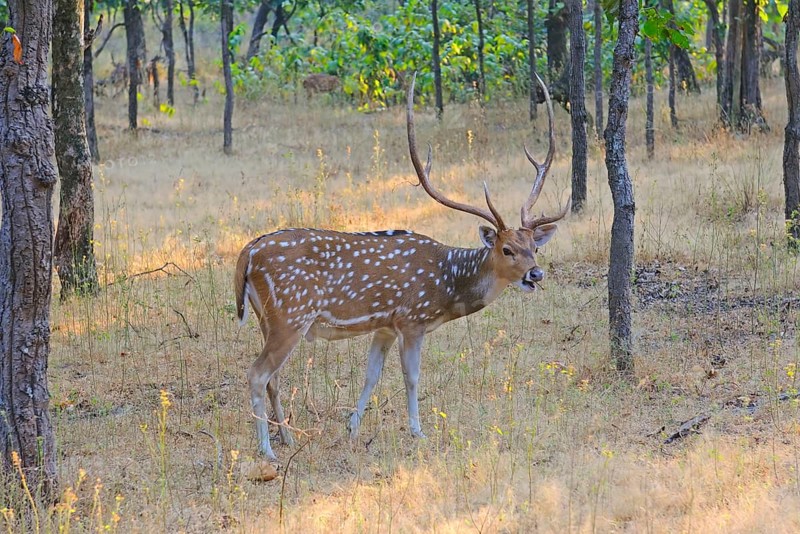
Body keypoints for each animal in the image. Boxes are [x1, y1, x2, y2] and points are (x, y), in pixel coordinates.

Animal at [235, 73, 568, 461]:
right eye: (507, 249)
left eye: (534, 247)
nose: (536, 273)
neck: (446, 285)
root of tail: (248, 252)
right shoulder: (412, 319)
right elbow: (412, 376)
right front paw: (417, 431)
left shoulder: (385, 325)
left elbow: (371, 375)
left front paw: (352, 427)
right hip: (291, 314)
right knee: (257, 373)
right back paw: (267, 449)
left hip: (267, 319)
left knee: (272, 376)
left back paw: (287, 437)